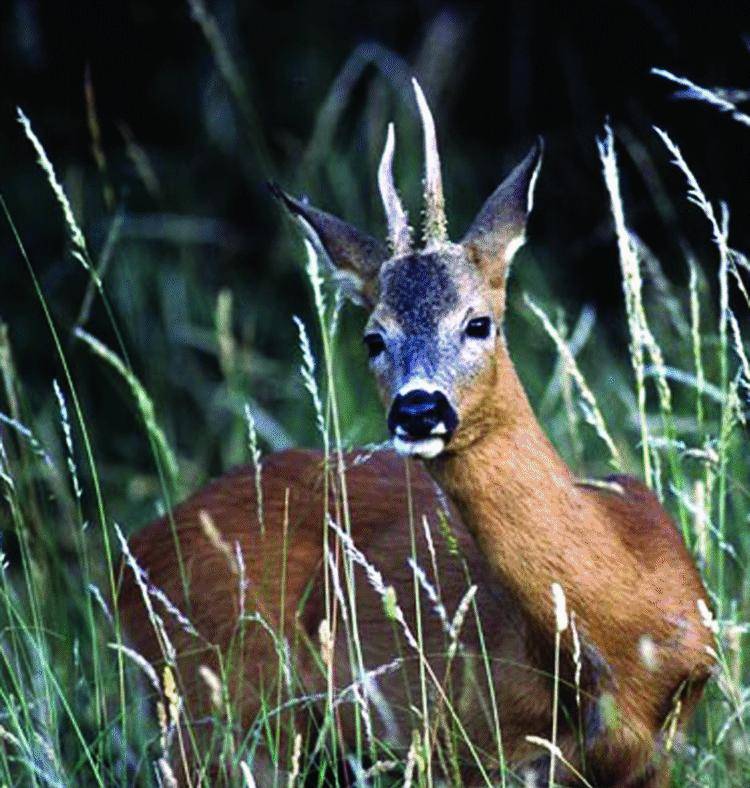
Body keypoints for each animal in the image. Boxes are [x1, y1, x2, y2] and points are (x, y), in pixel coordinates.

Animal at [122, 83, 716, 784]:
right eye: (374, 338)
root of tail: (132, 554)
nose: (418, 409)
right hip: (217, 715)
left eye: (478, 323)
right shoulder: (474, 741)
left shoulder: (659, 749)